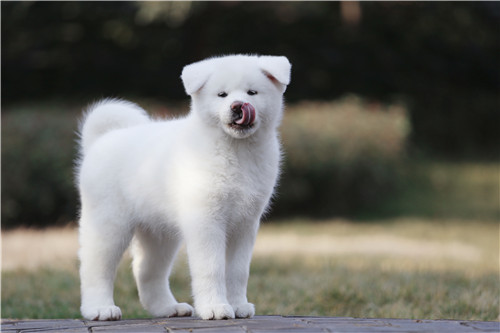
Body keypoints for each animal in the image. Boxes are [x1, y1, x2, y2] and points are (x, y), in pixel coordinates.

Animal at [76, 54, 292, 320]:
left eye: (252, 92)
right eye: (222, 94)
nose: (238, 106)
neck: (235, 150)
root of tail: (101, 140)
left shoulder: (245, 224)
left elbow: (238, 271)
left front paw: (238, 305)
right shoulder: (206, 220)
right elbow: (212, 268)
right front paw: (215, 308)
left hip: (159, 232)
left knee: (146, 271)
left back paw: (168, 308)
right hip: (108, 223)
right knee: (95, 267)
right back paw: (100, 308)